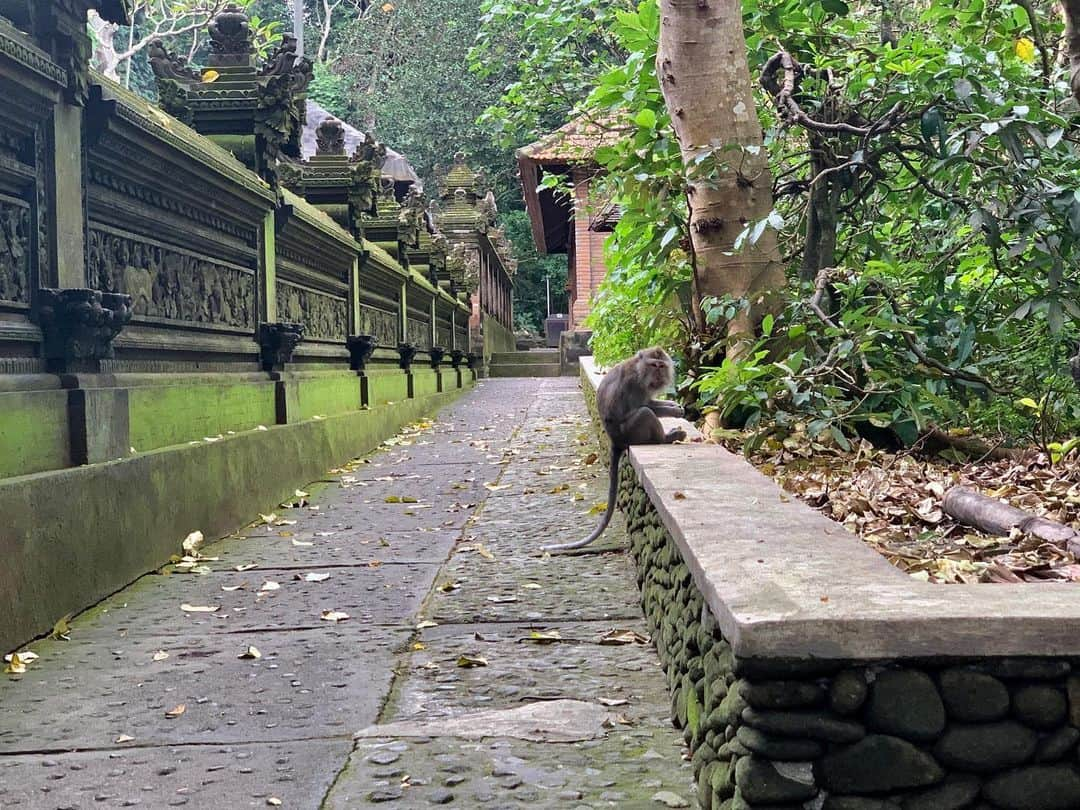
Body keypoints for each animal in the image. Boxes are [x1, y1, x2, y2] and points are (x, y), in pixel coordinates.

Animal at [544, 345, 686, 557]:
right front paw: (674, 410)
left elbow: (652, 402)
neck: (639, 370)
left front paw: (674, 405)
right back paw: (666, 438)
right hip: (630, 432)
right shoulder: (635, 385)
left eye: (662, 366)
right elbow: (645, 406)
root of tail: (615, 441)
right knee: (644, 413)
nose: (659, 375)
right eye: (654, 365)